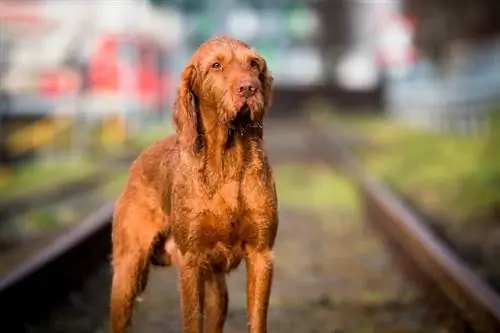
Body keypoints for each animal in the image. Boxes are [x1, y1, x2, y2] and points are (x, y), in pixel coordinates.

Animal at [109, 34, 280, 332]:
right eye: (215, 65)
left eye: (254, 64)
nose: (249, 88)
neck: (228, 160)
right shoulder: (192, 261)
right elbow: (191, 320)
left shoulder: (261, 254)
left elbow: (257, 320)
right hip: (128, 271)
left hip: (216, 289)